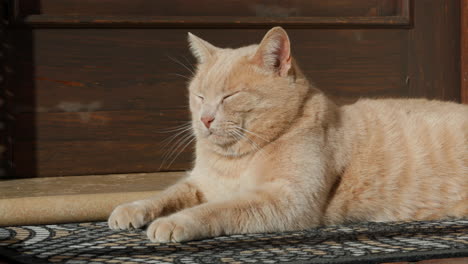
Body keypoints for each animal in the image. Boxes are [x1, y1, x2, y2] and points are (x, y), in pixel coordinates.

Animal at [107, 27, 468, 242]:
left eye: (229, 96)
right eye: (199, 96)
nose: (205, 118)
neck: (236, 161)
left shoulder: (286, 199)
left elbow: (219, 209)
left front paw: (174, 222)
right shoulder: (200, 184)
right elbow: (166, 194)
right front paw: (132, 209)